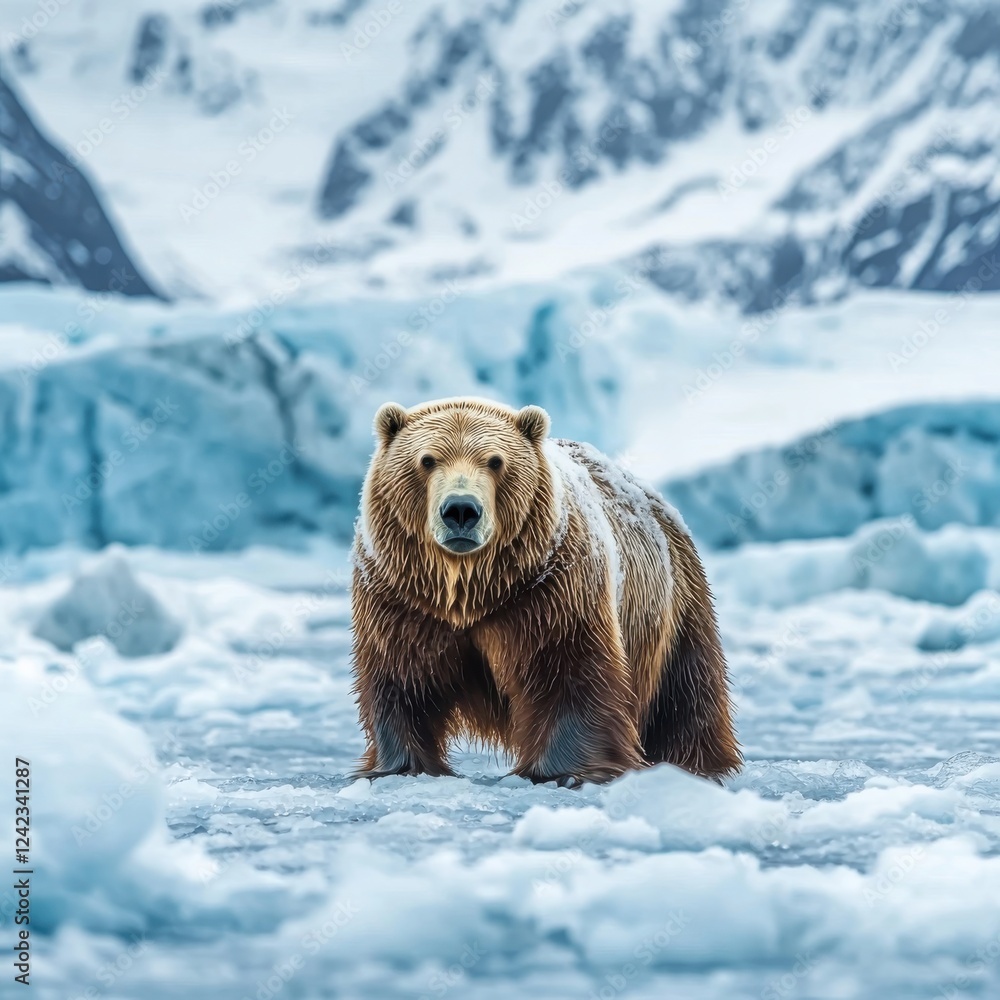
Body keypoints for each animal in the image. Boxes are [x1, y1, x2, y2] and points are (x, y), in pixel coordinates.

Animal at [351, 397, 741, 785]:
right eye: (427, 459)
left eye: (495, 461)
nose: (461, 509)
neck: (472, 588)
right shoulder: (403, 595)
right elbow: (401, 674)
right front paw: (399, 767)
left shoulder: (549, 590)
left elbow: (567, 669)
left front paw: (562, 771)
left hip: (674, 604)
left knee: (686, 693)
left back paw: (694, 762)